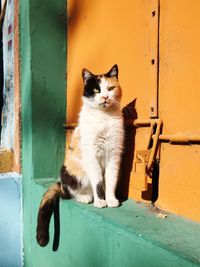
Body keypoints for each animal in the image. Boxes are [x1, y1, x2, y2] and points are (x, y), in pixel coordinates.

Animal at [36, 65, 123, 249]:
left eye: (111, 88)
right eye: (96, 90)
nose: (105, 97)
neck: (104, 118)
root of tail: (61, 184)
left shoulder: (114, 154)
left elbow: (111, 180)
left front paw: (111, 199)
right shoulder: (91, 155)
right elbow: (98, 182)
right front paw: (101, 201)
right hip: (70, 172)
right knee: (69, 193)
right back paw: (85, 197)